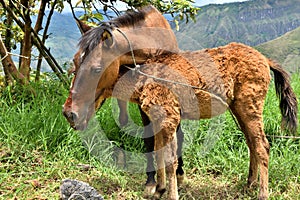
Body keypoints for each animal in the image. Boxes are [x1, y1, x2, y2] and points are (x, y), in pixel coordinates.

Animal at [62, 41, 296, 199]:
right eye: (74, 65)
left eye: (96, 69)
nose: (69, 113)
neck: (145, 79)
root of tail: (265, 60)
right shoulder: (157, 121)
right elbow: (159, 154)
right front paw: (159, 190)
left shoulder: (169, 119)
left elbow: (170, 160)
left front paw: (171, 194)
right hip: (239, 109)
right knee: (252, 144)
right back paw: (248, 185)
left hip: (250, 107)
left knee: (262, 146)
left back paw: (262, 193)